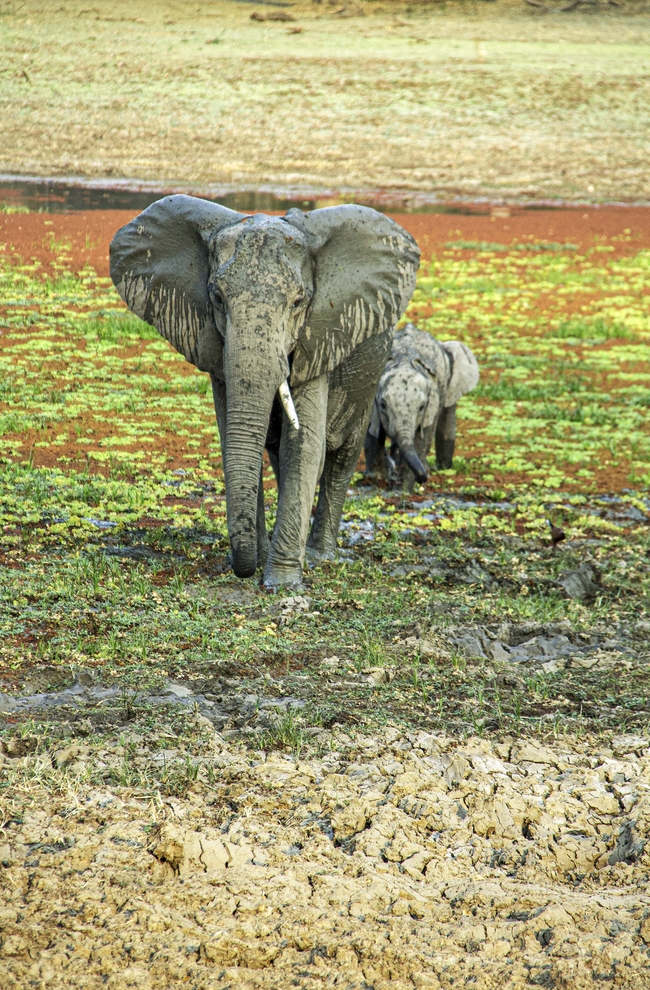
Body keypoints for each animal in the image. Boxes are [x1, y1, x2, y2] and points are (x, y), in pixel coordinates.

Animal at [109, 198, 418, 592]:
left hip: (369, 372)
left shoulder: (317, 338)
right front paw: (258, 565)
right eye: (217, 297)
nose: (244, 569)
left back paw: (320, 556)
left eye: (299, 302)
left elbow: (303, 445)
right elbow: (237, 442)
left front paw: (281, 584)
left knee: (341, 459)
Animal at [362, 326, 478, 492]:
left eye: (422, 407)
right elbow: (372, 434)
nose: (423, 479)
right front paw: (375, 480)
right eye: (383, 405)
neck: (404, 360)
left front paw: (403, 490)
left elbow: (420, 439)